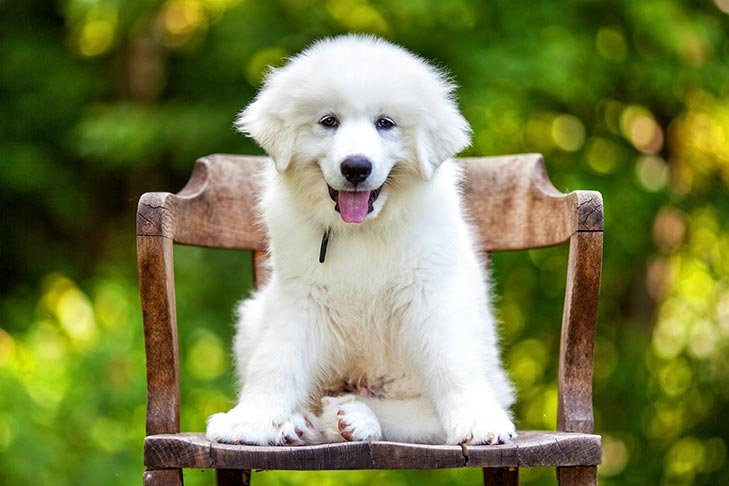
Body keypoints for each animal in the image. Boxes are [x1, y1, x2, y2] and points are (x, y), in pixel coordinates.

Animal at [203, 33, 512, 444]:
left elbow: (452, 362)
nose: (356, 167)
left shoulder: (431, 292)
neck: (361, 230)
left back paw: (351, 416)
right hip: (253, 316)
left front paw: (479, 422)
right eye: (328, 121)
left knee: (418, 416)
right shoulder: (299, 294)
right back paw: (302, 424)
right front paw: (251, 420)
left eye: (385, 123)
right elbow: (276, 361)